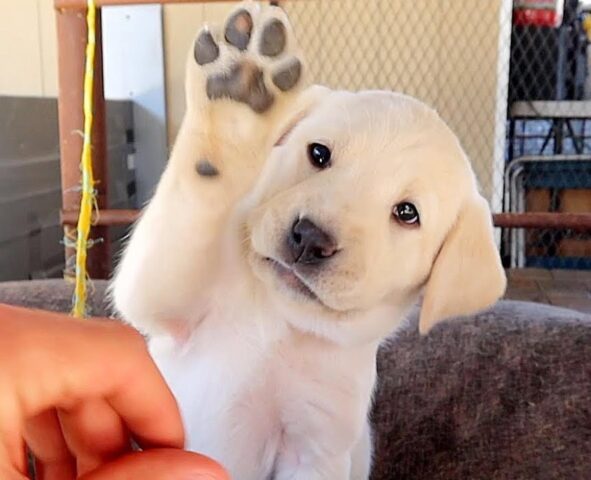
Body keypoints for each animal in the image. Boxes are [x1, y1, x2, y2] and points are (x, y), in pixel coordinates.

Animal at [112, 2, 508, 476]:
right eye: (319, 154)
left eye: (407, 213)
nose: (309, 239)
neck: (284, 325)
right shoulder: (165, 300)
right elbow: (190, 215)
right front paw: (235, 108)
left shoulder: (315, 446)